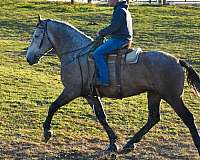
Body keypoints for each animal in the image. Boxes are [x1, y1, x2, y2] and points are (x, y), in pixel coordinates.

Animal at [26, 16, 200, 156]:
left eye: (36, 36)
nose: (29, 58)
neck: (77, 54)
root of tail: (177, 61)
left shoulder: (71, 91)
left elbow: (53, 106)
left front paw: (47, 131)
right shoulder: (89, 95)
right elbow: (101, 117)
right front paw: (113, 142)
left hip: (173, 97)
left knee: (188, 118)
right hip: (154, 94)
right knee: (153, 118)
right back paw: (130, 144)